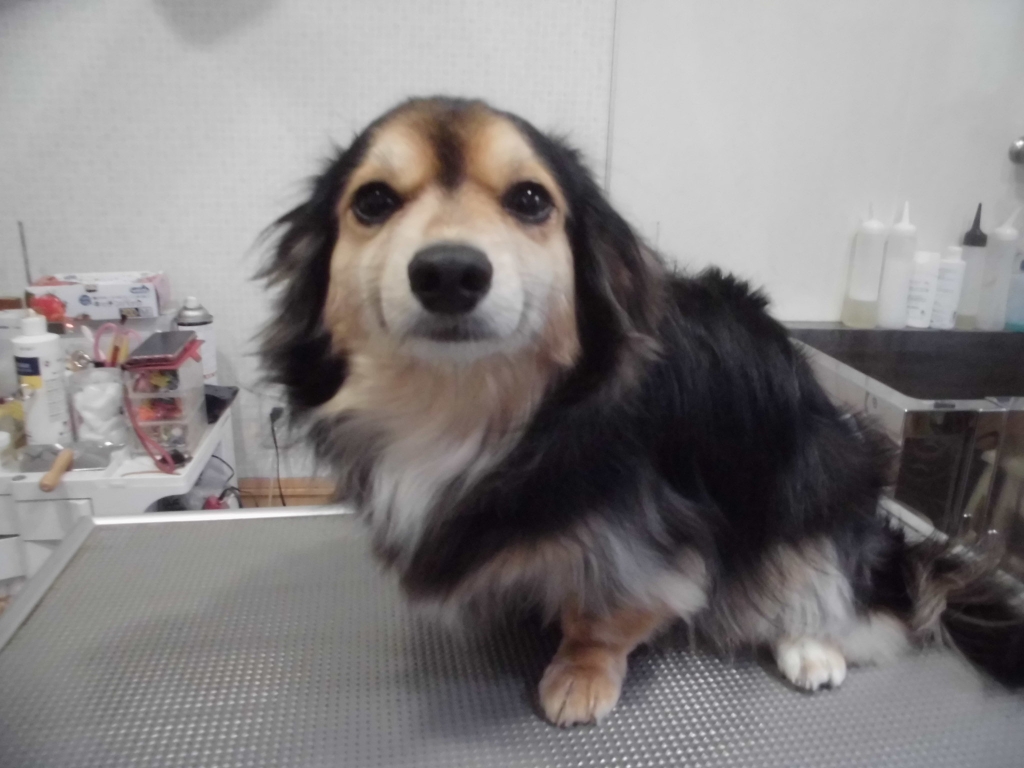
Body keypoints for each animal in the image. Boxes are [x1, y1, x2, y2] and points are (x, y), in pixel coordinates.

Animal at [260, 97, 1024, 726]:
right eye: (373, 201)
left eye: (531, 199)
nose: (449, 272)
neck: (469, 404)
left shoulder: (646, 538)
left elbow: (609, 613)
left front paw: (580, 671)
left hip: (821, 473)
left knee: (843, 585)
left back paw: (811, 642)